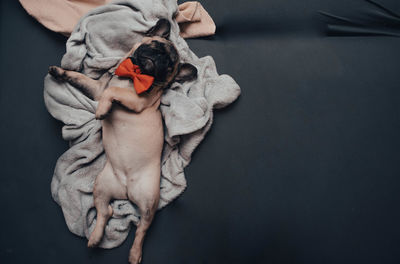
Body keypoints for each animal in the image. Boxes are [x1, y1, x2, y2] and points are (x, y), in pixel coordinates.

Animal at [48, 19, 197, 264]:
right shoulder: (98, 89)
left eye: (169, 66)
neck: (133, 74)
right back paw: (95, 237)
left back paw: (135, 253)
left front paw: (102, 111)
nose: (160, 58)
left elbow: (114, 91)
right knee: (105, 211)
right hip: (101, 185)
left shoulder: (135, 100)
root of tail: (126, 190)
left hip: (148, 201)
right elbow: (81, 78)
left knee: (142, 228)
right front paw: (60, 72)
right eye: (155, 45)